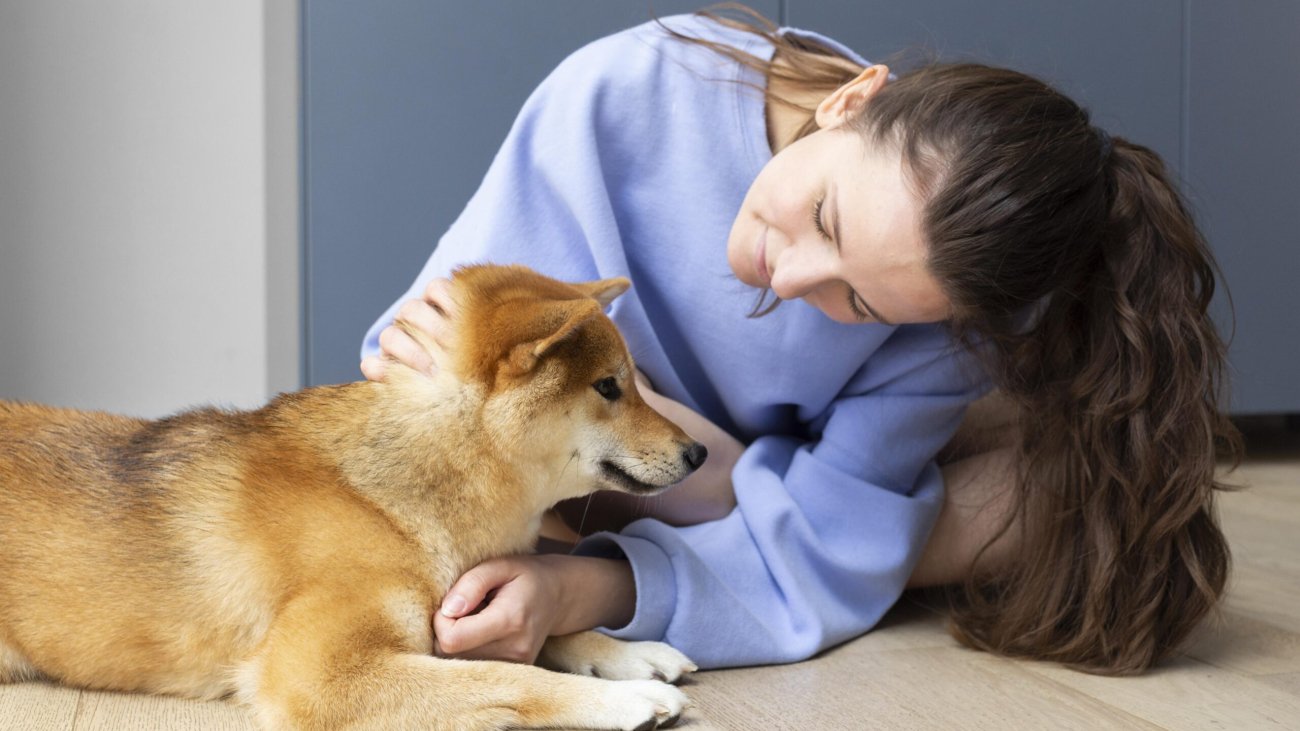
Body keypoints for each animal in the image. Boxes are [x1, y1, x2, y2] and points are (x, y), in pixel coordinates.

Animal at [0, 262, 707, 728]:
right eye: (609, 387)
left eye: (632, 384)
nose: (699, 453)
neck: (395, 497)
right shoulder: (318, 674)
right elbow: (510, 673)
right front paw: (618, 699)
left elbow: (554, 631)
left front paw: (626, 653)